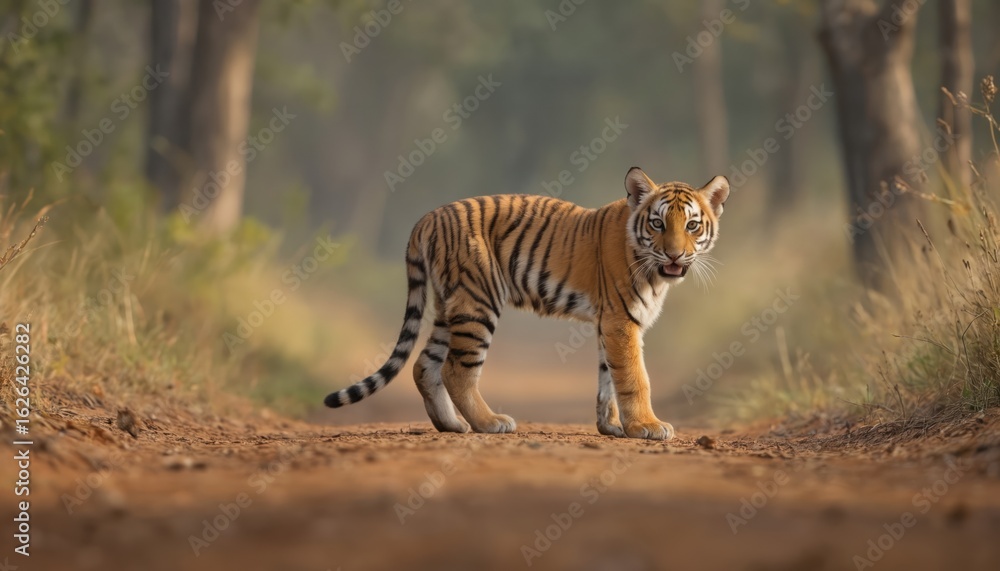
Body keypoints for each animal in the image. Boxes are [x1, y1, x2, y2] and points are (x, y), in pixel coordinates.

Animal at [325, 167, 730, 440]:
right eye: (658, 224)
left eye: (692, 225)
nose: (675, 255)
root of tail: (427, 218)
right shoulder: (621, 320)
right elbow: (633, 376)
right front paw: (646, 426)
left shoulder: (607, 323)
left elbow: (607, 380)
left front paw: (611, 426)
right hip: (478, 302)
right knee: (456, 370)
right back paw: (489, 423)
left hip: (447, 307)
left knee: (425, 365)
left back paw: (453, 425)